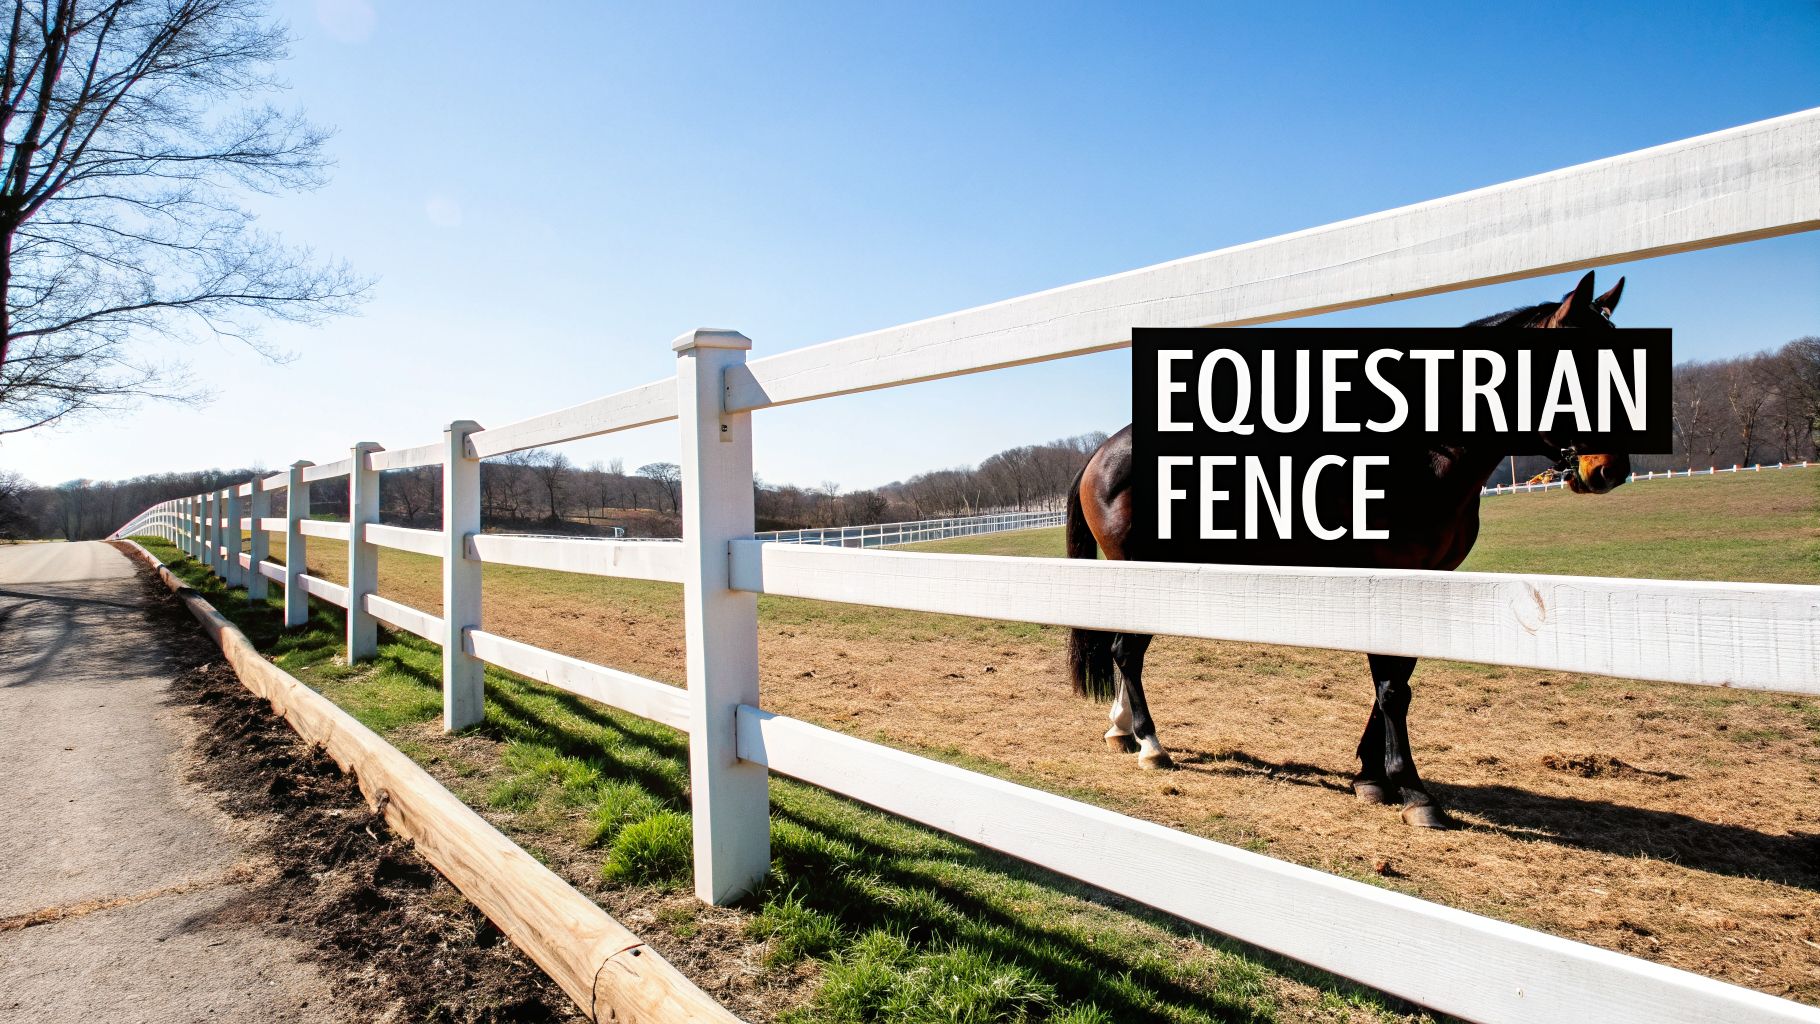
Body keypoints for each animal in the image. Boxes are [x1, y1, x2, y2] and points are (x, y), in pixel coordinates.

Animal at [1065, 270, 1629, 828]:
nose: (1611, 469)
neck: (1419, 454)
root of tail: (1102, 451)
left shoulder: (1425, 580)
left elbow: (1398, 677)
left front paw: (1370, 775)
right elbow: (1392, 686)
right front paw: (1412, 789)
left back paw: (1122, 730)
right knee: (1126, 652)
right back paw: (1150, 744)